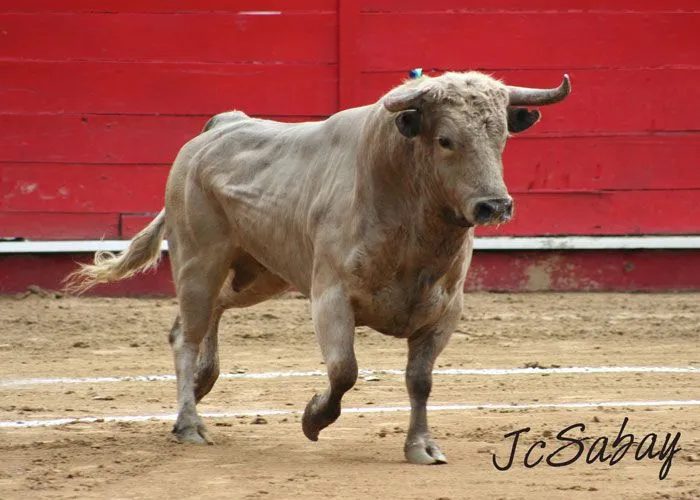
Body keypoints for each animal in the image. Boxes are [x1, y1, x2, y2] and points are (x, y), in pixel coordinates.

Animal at [65, 70, 572, 464]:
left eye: (501, 138)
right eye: (446, 140)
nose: (495, 205)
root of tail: (219, 126)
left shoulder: (444, 311)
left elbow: (420, 380)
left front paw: (421, 446)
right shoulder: (330, 298)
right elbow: (344, 370)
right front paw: (312, 418)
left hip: (258, 273)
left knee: (206, 315)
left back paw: (202, 383)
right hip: (197, 259)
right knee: (185, 334)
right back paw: (190, 423)